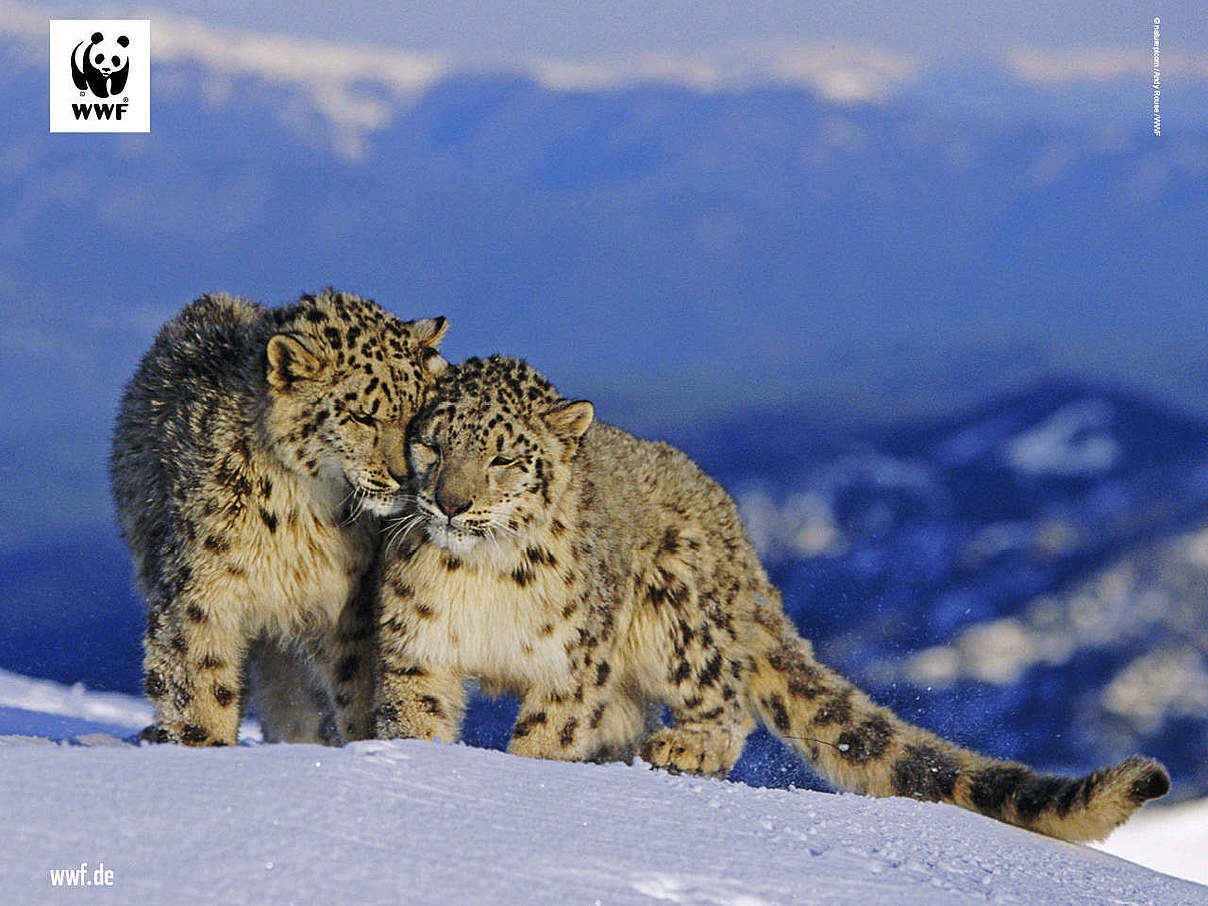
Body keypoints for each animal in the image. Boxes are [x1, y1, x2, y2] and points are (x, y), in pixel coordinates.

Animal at [107, 288, 449, 744]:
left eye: (420, 414)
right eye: (361, 415)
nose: (406, 476)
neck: (303, 513)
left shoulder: (346, 605)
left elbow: (356, 688)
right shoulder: (201, 592)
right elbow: (200, 680)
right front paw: (206, 741)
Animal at [376, 355, 1169, 845]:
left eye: (504, 457)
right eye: (433, 443)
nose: (450, 502)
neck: (481, 577)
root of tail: (738, 533)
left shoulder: (570, 669)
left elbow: (547, 737)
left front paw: (528, 779)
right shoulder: (414, 648)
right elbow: (413, 720)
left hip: (681, 610)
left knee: (724, 706)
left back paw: (686, 746)